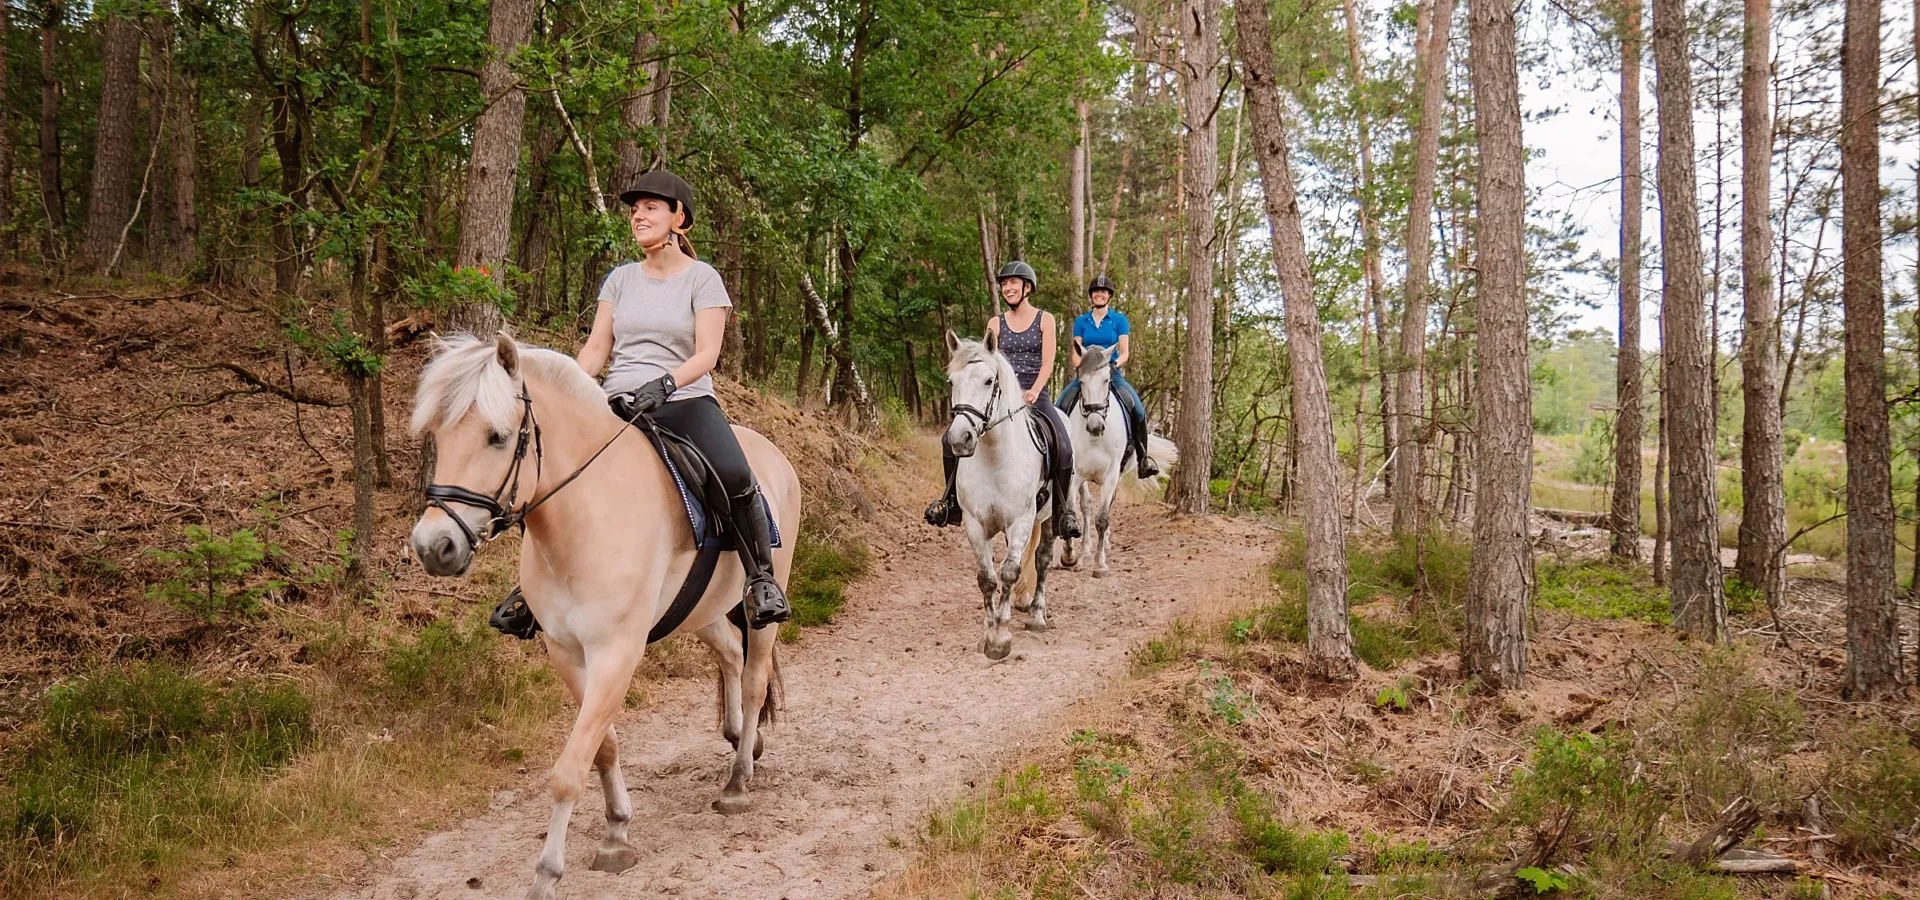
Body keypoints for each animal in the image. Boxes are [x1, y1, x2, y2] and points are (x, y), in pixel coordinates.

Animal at [405, 333, 794, 894]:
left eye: (497, 437)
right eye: (438, 434)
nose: (434, 547)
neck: (585, 517)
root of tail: (771, 454)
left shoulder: (616, 653)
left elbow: (570, 769)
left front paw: (547, 875)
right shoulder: (566, 653)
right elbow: (602, 746)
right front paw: (616, 831)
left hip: (761, 598)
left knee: (755, 677)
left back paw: (738, 783)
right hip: (701, 610)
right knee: (729, 653)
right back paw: (743, 736)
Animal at [940, 326, 1059, 656]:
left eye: (988, 381)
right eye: (951, 382)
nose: (960, 438)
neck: (995, 456)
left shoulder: (1020, 521)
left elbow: (1008, 572)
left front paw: (1001, 636)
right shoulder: (974, 524)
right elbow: (987, 578)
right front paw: (988, 629)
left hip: (1049, 517)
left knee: (1043, 560)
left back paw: (1036, 615)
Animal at [1059, 337, 1175, 575]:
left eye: (1106, 380)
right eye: (1081, 381)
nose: (1095, 426)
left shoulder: (1112, 472)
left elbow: (1103, 517)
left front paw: (1100, 563)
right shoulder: (1076, 474)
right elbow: (1073, 510)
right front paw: (1070, 556)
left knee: (1107, 505)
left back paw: (1103, 545)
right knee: (1086, 506)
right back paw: (1085, 551)